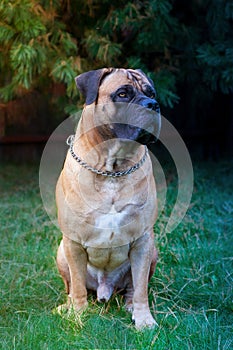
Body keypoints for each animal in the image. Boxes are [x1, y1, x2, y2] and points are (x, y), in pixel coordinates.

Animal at [56, 67, 161, 328]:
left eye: (151, 93)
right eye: (123, 93)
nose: (153, 105)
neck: (112, 169)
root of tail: (105, 288)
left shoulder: (143, 240)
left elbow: (141, 286)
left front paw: (144, 319)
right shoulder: (73, 242)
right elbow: (78, 285)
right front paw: (77, 314)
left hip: (153, 250)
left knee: (133, 286)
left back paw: (130, 304)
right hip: (61, 250)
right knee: (72, 285)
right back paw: (66, 306)